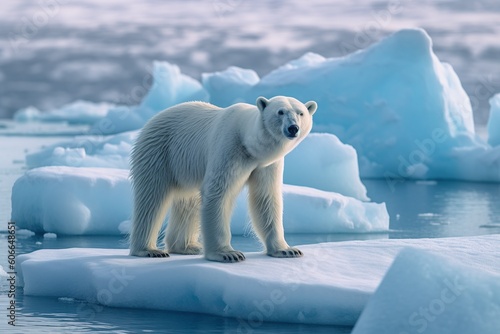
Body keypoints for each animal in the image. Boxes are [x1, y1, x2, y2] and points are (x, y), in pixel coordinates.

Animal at [129, 95, 316, 262]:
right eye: (280, 112)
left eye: (300, 113)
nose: (293, 128)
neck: (248, 144)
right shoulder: (229, 148)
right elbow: (219, 192)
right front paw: (228, 254)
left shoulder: (267, 165)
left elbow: (266, 198)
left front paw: (287, 250)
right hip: (159, 151)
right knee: (152, 197)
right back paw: (149, 250)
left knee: (188, 201)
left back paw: (187, 247)